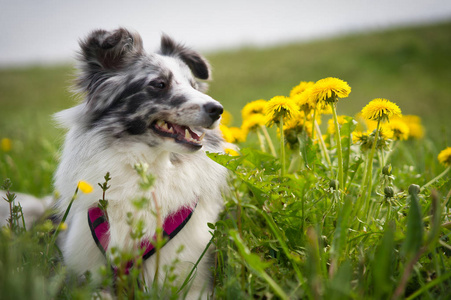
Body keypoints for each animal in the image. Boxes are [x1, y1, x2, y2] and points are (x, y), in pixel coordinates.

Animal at [53, 27, 230, 298]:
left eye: (193, 85)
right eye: (159, 84)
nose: (217, 109)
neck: (150, 168)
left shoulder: (194, 281)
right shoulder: (87, 278)